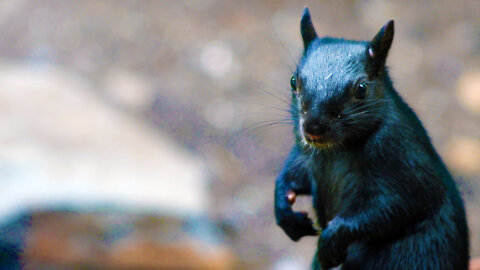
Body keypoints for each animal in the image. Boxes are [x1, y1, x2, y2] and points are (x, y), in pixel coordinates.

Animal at [274, 7, 468, 268]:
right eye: (293, 81)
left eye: (361, 89)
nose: (313, 128)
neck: (337, 148)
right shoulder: (304, 154)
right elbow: (292, 175)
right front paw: (284, 210)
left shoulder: (401, 160)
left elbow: (394, 207)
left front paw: (331, 240)